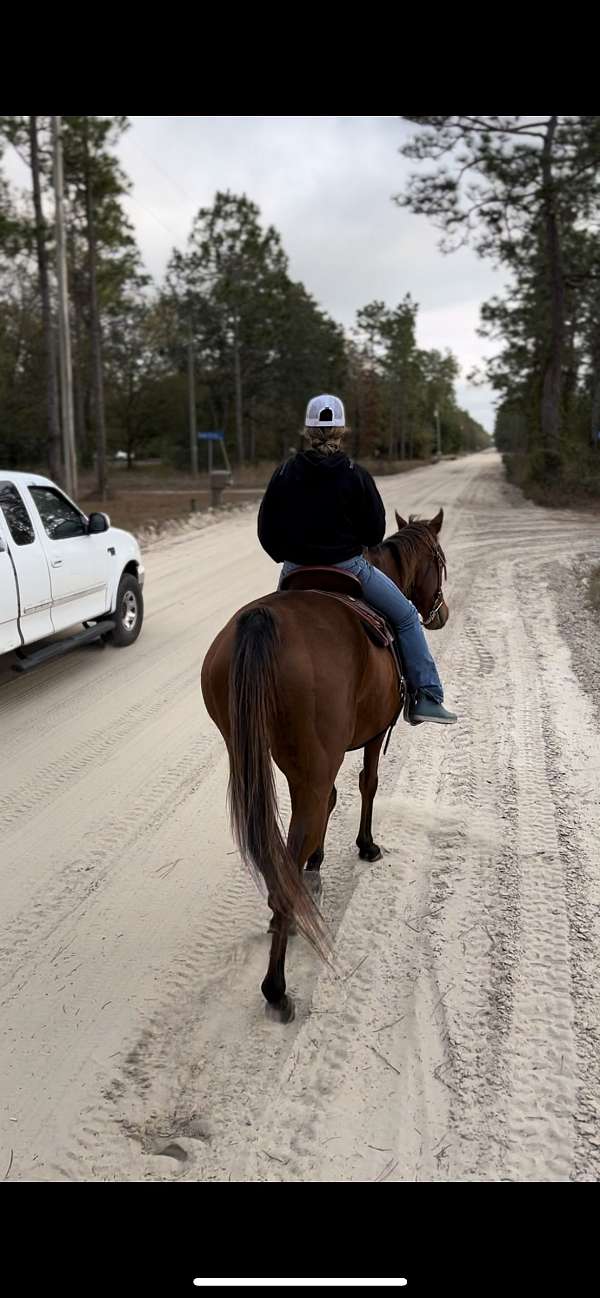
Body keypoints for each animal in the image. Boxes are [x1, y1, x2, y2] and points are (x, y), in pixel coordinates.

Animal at [201, 506, 449, 1022]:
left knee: (283, 844)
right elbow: (368, 783)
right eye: (439, 560)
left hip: (257, 756)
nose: (440, 614)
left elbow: (335, 799)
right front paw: (366, 846)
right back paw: (276, 987)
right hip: (310, 765)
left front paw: (317, 864)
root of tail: (260, 623)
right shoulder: (373, 735)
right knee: (296, 841)